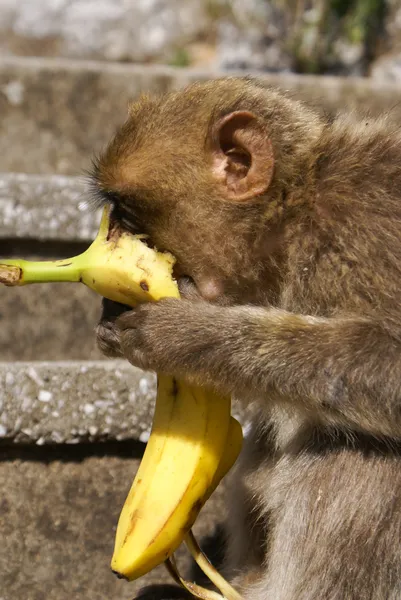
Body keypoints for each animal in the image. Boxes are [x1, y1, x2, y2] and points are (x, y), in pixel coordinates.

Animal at [90, 79, 400, 600]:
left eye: (128, 214)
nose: (111, 235)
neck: (297, 218)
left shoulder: (368, 225)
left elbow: (388, 364)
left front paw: (185, 336)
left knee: (357, 444)